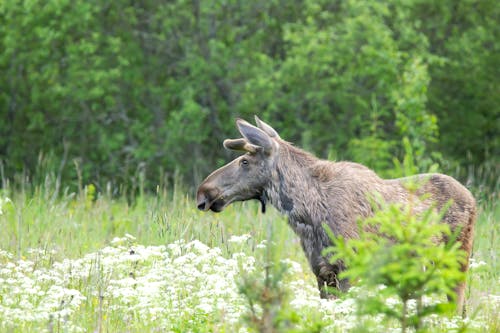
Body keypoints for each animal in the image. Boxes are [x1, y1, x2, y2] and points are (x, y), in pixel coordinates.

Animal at [196, 116, 476, 312]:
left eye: (245, 161)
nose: (204, 192)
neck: (306, 214)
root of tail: (473, 199)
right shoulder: (321, 272)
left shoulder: (349, 269)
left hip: (457, 261)